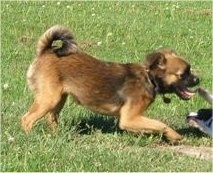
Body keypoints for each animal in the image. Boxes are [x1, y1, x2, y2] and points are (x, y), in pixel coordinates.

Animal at [21, 25, 200, 142]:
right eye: (183, 74)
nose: (198, 79)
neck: (149, 78)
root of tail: (46, 51)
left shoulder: (133, 119)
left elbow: (151, 126)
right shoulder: (129, 118)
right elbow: (160, 124)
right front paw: (174, 136)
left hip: (59, 98)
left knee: (51, 117)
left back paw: (57, 135)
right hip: (49, 99)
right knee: (27, 119)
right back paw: (30, 137)